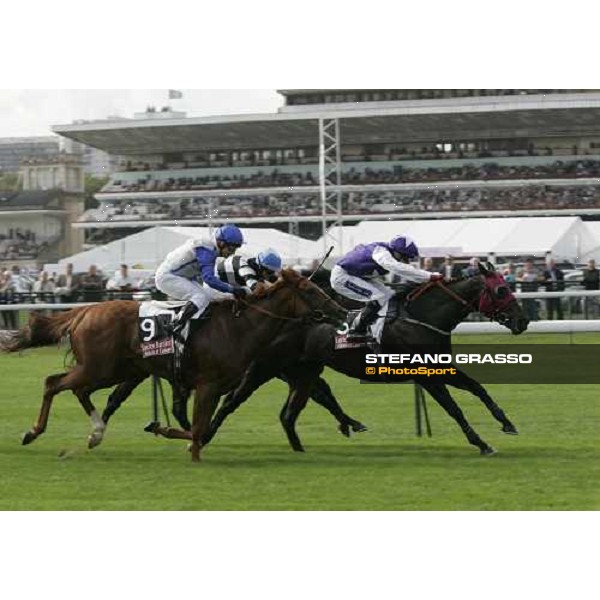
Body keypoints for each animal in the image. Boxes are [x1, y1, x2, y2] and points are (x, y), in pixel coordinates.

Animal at [1, 270, 346, 462]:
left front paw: (164, 429)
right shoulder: (207, 385)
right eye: (311, 290)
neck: (239, 327)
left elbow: (200, 427)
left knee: (79, 390)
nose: (341, 311)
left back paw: (96, 433)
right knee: (53, 382)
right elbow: (198, 428)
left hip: (117, 370)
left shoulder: (214, 387)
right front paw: (190, 452)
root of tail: (84, 310)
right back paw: (33, 432)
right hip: (99, 368)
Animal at [203, 264, 528, 458]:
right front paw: (481, 443)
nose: (523, 321)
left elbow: (478, 388)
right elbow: (454, 409)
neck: (423, 318)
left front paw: (507, 423)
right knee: (232, 400)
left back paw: (308, 445)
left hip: (303, 372)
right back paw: (204, 436)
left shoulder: (441, 367)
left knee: (290, 413)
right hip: (265, 367)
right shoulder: (425, 375)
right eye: (501, 290)